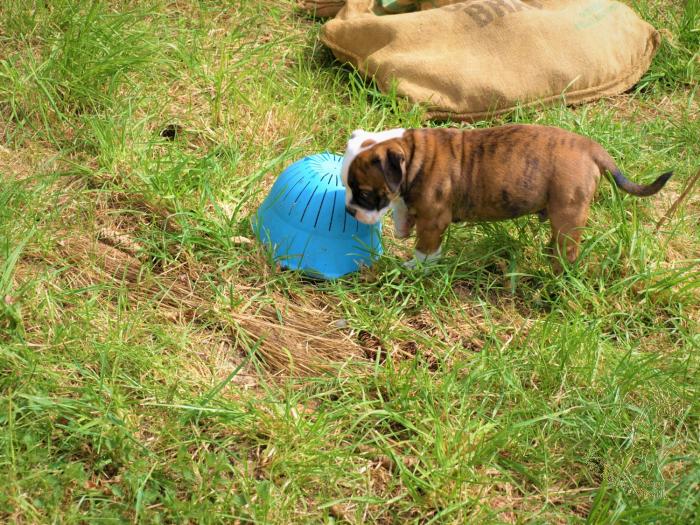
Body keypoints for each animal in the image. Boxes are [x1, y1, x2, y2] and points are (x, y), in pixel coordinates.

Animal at [341, 125, 672, 271]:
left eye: (364, 194)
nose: (349, 211)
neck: (414, 154)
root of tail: (592, 148)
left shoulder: (434, 220)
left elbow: (426, 248)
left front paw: (416, 268)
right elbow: (402, 208)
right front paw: (401, 226)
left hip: (569, 212)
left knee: (568, 249)